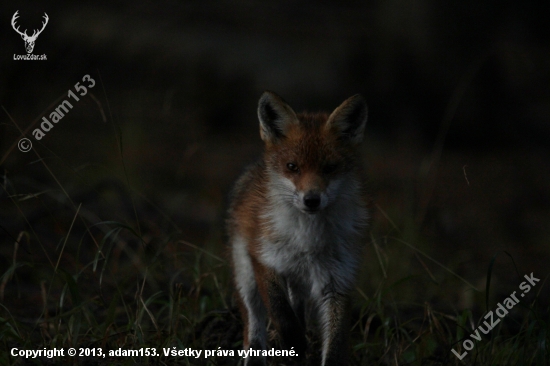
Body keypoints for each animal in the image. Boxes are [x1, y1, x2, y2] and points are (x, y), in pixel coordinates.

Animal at [229, 92, 370, 366]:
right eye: (292, 167)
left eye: (329, 168)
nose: (311, 200)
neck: (308, 241)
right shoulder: (265, 259)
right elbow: (282, 314)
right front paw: (294, 344)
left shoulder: (338, 280)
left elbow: (335, 345)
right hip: (246, 276)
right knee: (254, 326)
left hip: (299, 282)